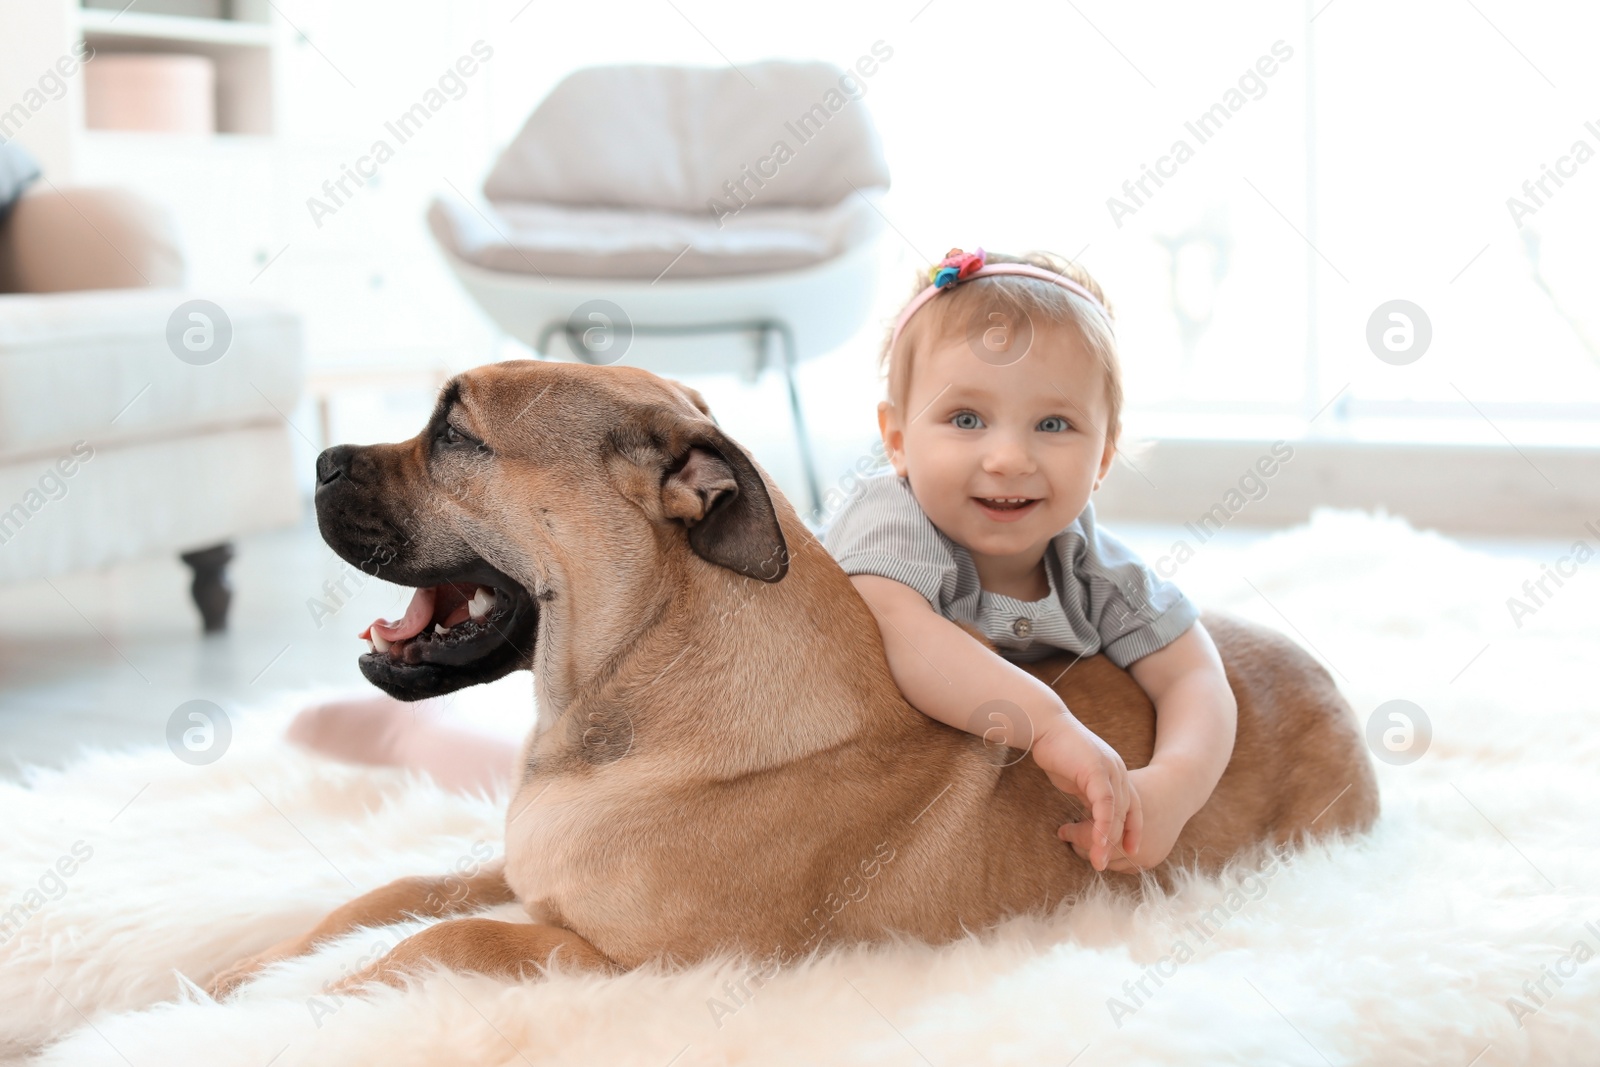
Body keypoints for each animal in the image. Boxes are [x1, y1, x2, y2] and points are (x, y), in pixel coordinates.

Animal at [206, 363, 1376, 998]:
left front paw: (298, 1009)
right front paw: (239, 973)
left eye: (454, 432)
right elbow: (393, 891)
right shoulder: (526, 872)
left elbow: (448, 934)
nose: (320, 462)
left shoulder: (621, 961)